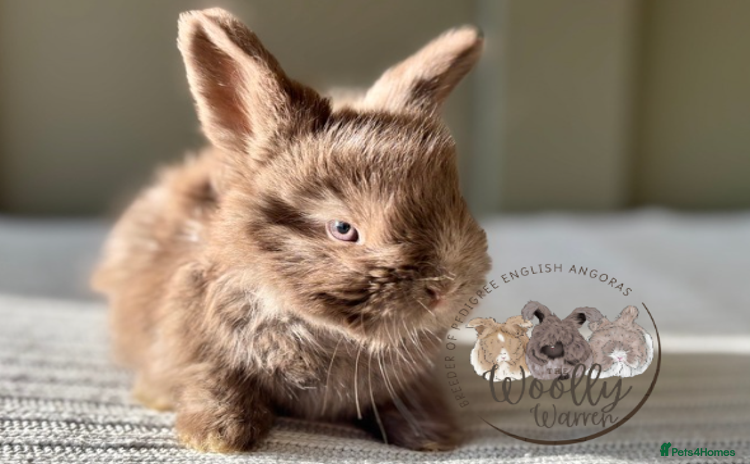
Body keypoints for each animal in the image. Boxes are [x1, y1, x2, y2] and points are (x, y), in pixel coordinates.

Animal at [90, 8, 490, 453]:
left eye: (456, 203)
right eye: (343, 228)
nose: (445, 288)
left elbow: (408, 397)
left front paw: (431, 433)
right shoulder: (193, 350)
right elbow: (215, 382)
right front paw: (217, 435)